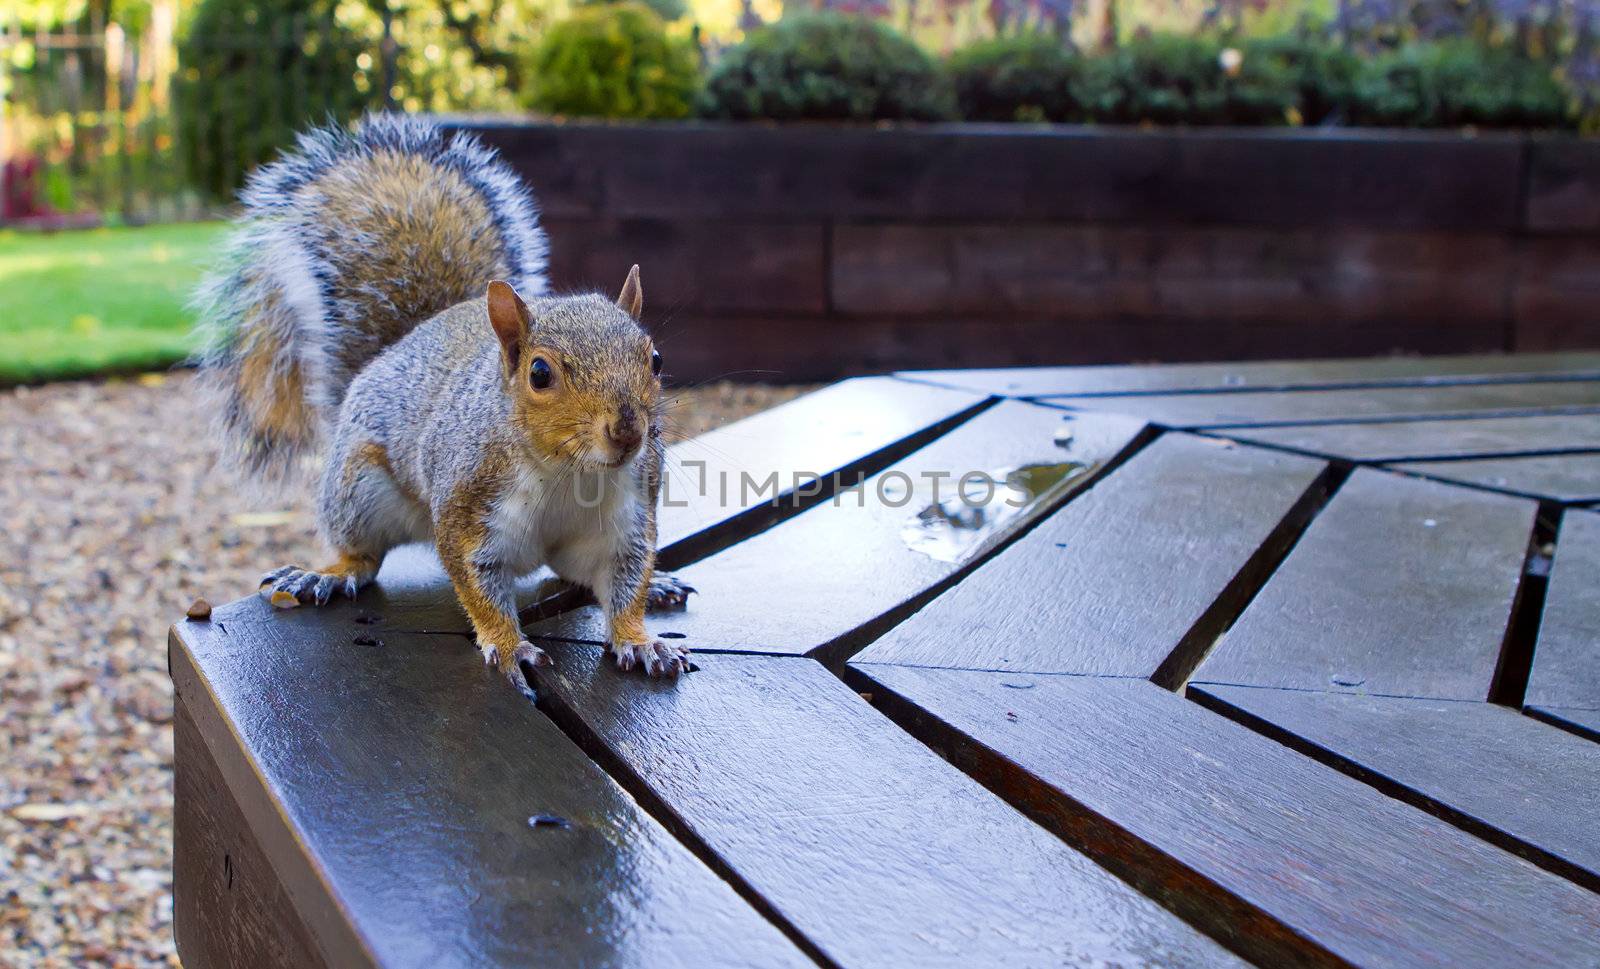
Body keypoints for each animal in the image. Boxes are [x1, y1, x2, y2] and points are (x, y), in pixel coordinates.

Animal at [192, 115, 688, 697]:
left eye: (655, 358)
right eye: (539, 374)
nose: (629, 432)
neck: (571, 472)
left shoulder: (627, 518)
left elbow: (626, 582)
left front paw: (639, 638)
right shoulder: (466, 505)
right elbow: (475, 582)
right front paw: (509, 645)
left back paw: (660, 584)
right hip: (359, 489)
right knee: (363, 554)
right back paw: (329, 572)